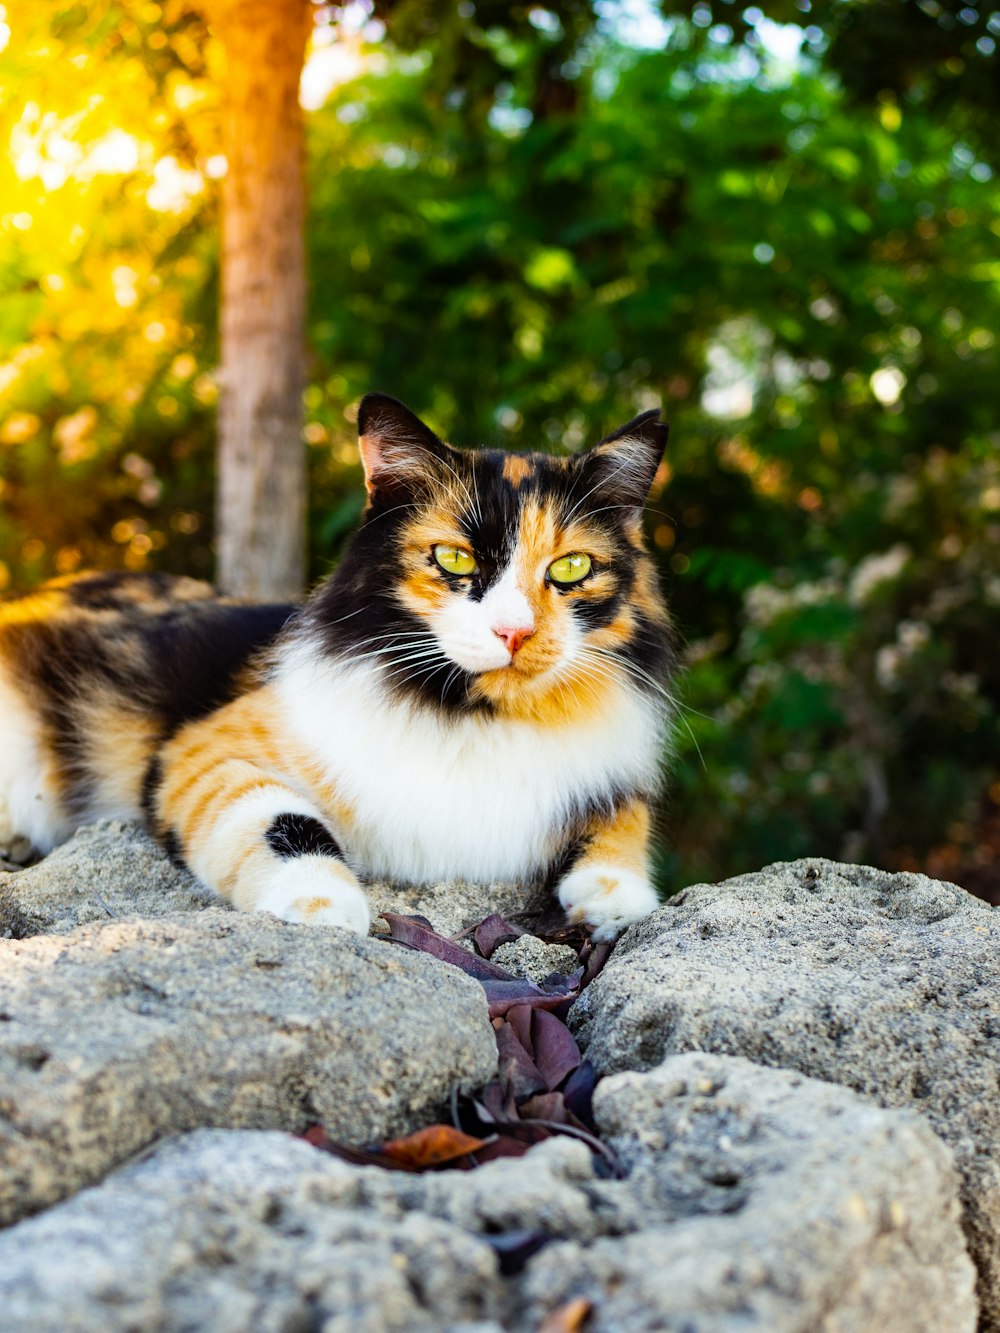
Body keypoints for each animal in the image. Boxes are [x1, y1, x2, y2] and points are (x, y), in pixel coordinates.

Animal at [0, 391, 677, 938]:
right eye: (454, 558)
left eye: (571, 568)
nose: (514, 632)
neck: (478, 715)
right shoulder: (203, 751)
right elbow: (282, 821)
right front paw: (324, 907)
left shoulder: (608, 782)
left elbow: (625, 822)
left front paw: (616, 899)